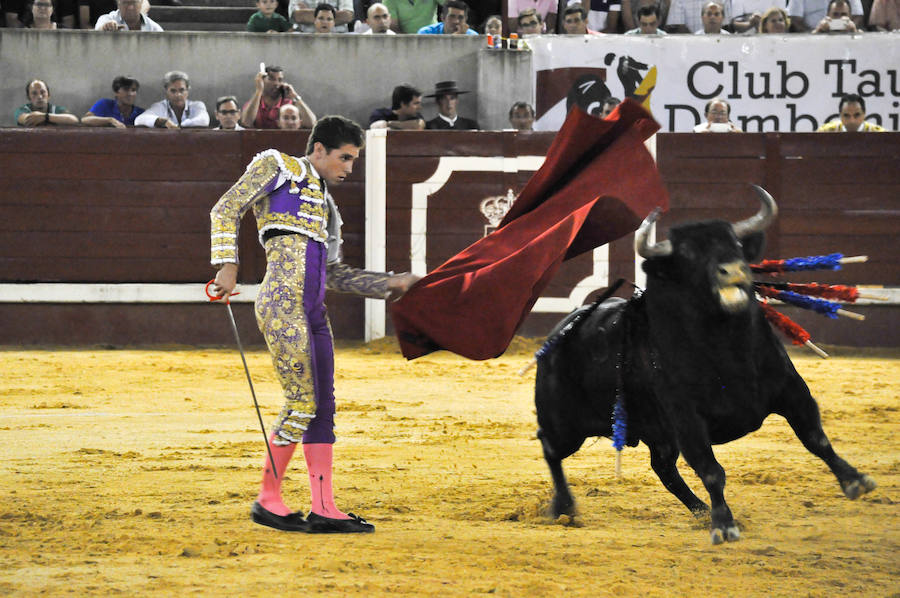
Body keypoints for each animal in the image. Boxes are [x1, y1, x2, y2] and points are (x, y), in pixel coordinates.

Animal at [536, 190, 876, 548]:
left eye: (735, 244)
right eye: (687, 253)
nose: (734, 270)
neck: (727, 351)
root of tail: (558, 333)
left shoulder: (791, 390)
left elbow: (816, 438)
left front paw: (854, 480)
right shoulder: (688, 419)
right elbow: (712, 470)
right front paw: (724, 525)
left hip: (656, 433)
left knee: (664, 468)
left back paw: (699, 511)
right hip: (566, 425)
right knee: (550, 447)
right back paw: (565, 508)